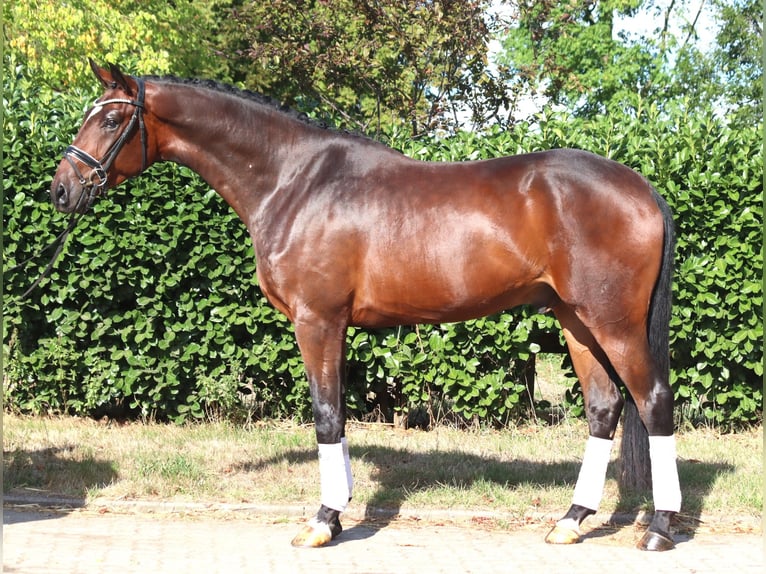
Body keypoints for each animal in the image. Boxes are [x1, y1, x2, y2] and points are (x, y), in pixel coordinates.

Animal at [51, 61, 681, 551]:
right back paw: (571, 521)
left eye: (111, 119)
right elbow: (338, 415)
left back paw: (659, 528)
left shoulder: (318, 321)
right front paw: (336, 512)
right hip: (575, 320)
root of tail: (643, 189)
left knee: (652, 401)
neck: (294, 181)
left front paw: (323, 521)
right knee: (604, 407)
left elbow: (327, 415)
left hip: (613, 322)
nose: (61, 189)